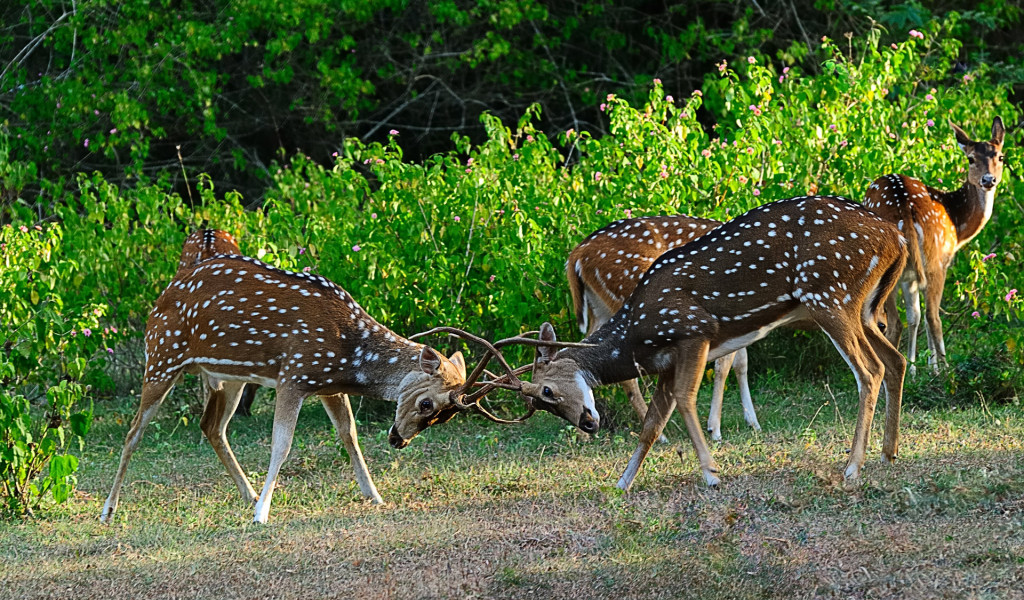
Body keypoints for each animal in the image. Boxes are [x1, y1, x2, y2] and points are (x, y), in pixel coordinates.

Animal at [100, 249, 471, 520]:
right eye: (427, 403)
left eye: (447, 416)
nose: (398, 441)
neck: (350, 353)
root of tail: (160, 297)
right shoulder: (293, 375)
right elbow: (282, 443)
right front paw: (263, 515)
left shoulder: (327, 384)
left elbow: (348, 434)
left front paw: (375, 495)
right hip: (162, 356)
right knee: (134, 432)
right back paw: (108, 510)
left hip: (230, 376)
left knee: (211, 426)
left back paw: (248, 495)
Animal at [569, 215, 761, 438]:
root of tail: (577, 254)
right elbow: (724, 366)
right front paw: (715, 429)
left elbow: (741, 363)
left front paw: (753, 422)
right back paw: (659, 434)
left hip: (600, 308)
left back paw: (582, 432)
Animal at [864, 114, 1007, 370]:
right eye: (971, 158)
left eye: (1000, 156)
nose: (988, 180)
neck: (958, 225)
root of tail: (904, 207)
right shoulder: (942, 261)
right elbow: (922, 317)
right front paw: (931, 367)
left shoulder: (910, 275)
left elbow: (914, 317)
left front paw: (915, 368)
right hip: (933, 260)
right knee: (927, 316)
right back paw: (945, 370)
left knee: (900, 320)